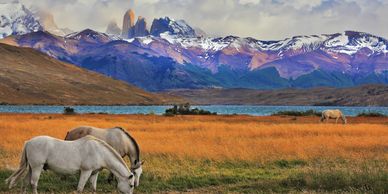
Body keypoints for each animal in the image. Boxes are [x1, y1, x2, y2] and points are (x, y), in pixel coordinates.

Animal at [4, 136, 136, 194]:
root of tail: (29, 142)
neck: (99, 152)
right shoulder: (85, 172)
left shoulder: (94, 173)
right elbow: (80, 189)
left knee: (25, 182)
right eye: (131, 185)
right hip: (37, 167)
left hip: (32, 168)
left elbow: (93, 188)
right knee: (33, 183)